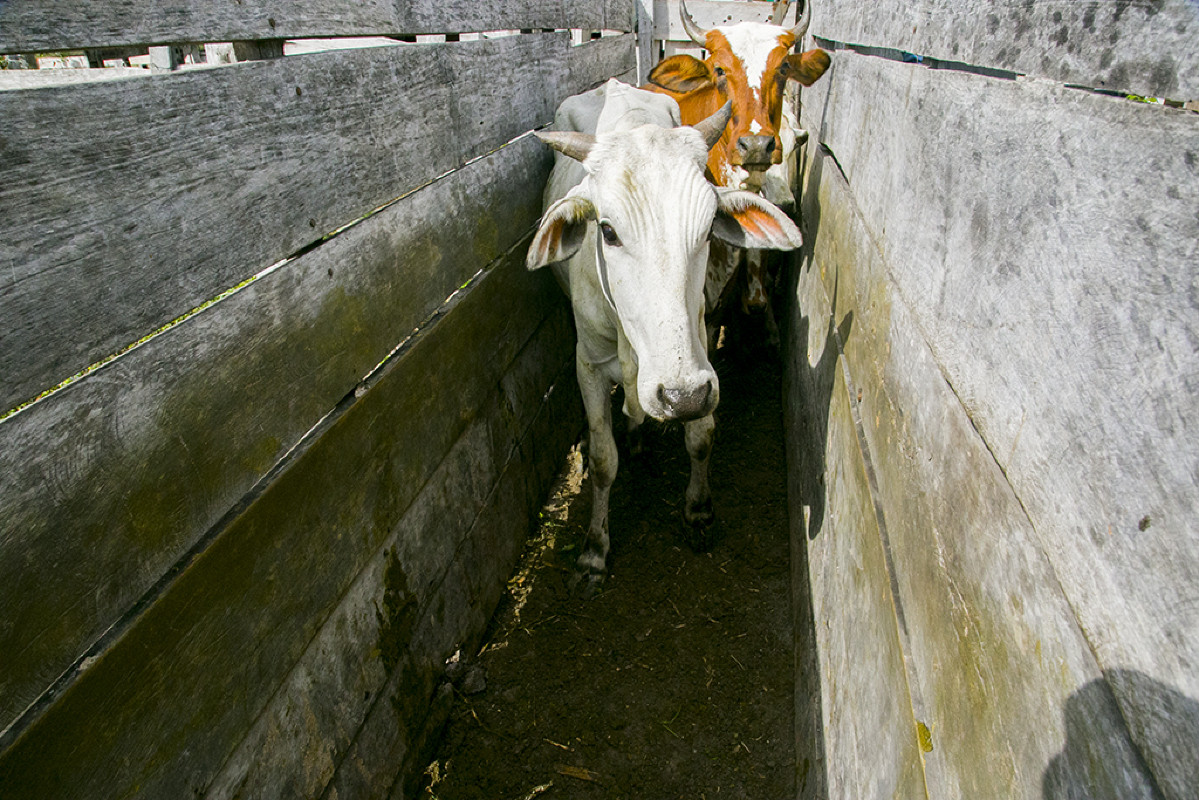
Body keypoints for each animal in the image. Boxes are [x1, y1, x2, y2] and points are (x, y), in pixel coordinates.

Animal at [527, 81, 800, 594]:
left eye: (710, 227)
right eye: (607, 230)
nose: (681, 397)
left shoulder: (701, 355)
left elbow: (702, 437)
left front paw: (698, 511)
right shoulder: (588, 365)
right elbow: (603, 459)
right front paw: (594, 552)